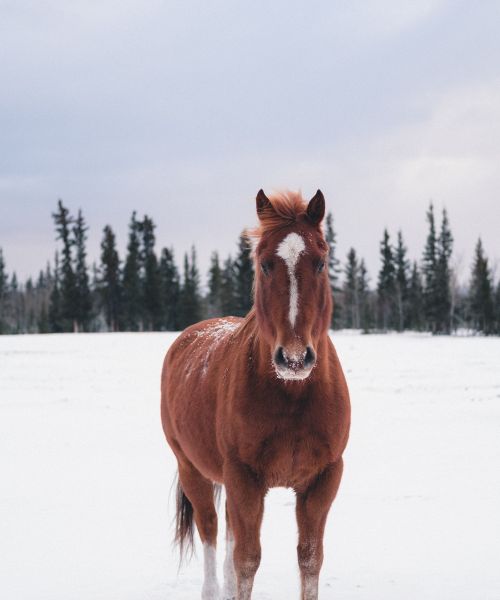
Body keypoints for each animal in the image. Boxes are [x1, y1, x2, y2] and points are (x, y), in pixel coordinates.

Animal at [162, 190, 350, 596]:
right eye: (264, 264)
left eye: (321, 262)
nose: (294, 358)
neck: (292, 396)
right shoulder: (244, 478)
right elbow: (247, 560)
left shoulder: (323, 479)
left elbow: (310, 559)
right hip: (192, 469)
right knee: (211, 531)